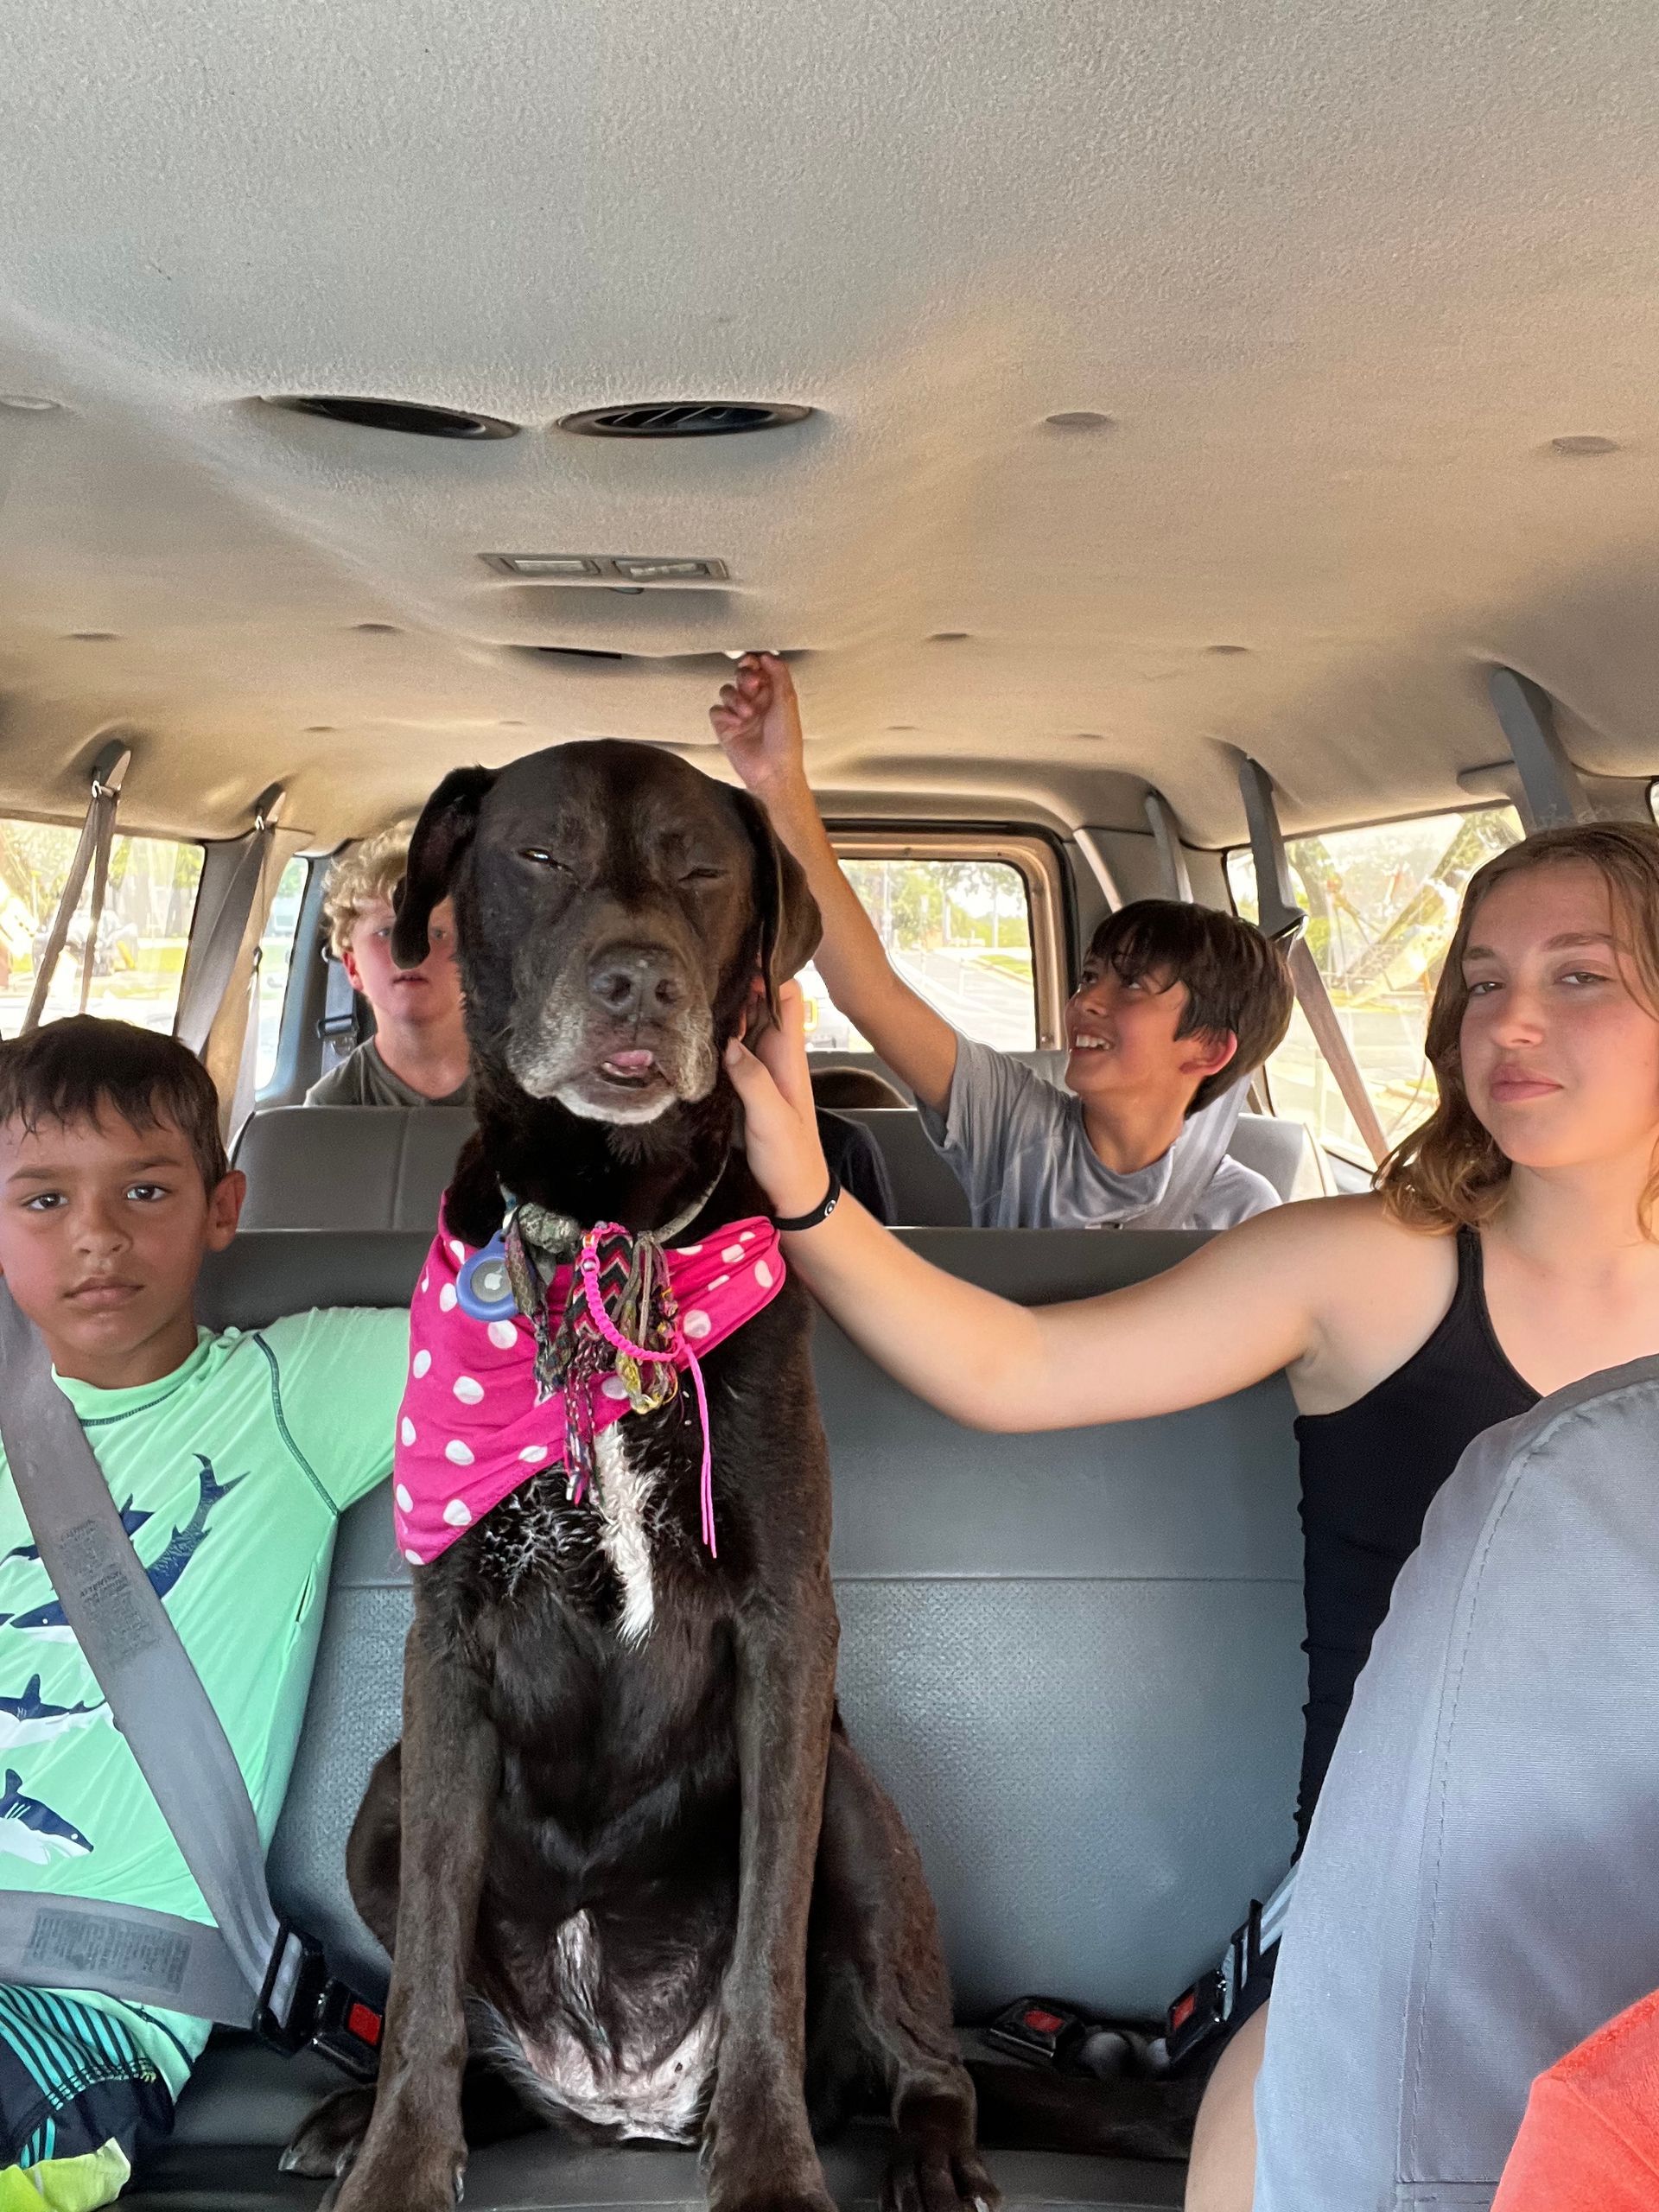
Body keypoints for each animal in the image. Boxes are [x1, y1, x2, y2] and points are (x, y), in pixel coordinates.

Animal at [289, 743, 1000, 2212]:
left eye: (703, 870)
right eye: (542, 855)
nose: (639, 982)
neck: (610, 1229)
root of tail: (617, 2095)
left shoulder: (790, 1631)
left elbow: (769, 1948)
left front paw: (773, 2170)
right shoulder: (447, 1644)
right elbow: (428, 1975)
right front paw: (395, 2164)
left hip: (859, 1804)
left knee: (925, 2053)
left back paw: (926, 2151)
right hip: (381, 1796)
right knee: (469, 2025)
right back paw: (358, 2117)